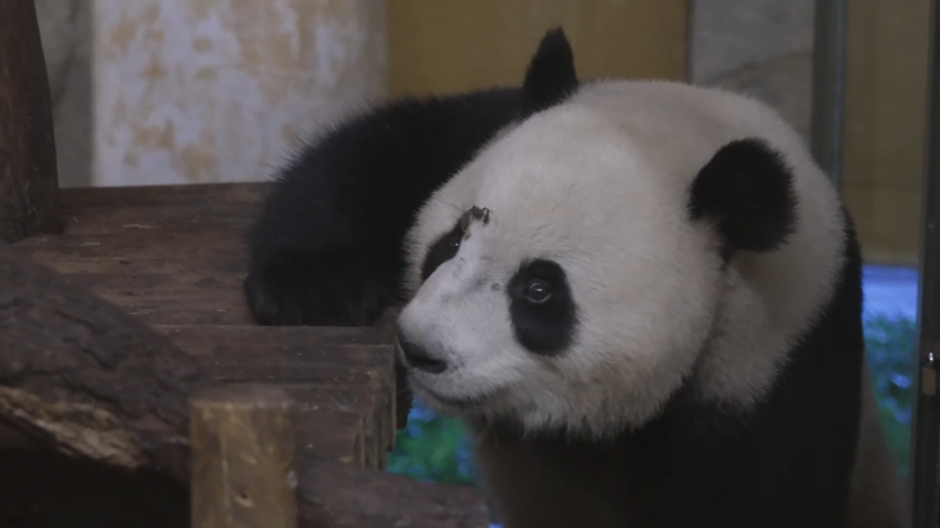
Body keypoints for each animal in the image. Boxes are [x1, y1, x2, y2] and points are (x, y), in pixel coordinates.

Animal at [246, 26, 908, 528]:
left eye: (539, 290)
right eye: (452, 241)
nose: (420, 349)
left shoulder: (778, 371)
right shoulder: (490, 125)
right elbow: (377, 152)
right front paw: (313, 287)